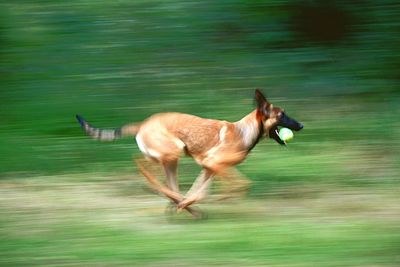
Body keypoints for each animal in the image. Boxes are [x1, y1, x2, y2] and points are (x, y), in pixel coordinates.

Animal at [76, 89, 304, 218]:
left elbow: (199, 191)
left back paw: (178, 203)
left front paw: (188, 203)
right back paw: (170, 197)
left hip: (171, 160)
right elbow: (239, 185)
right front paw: (220, 198)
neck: (245, 131)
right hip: (173, 151)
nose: (301, 125)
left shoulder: (208, 168)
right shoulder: (215, 165)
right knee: (143, 166)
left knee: (166, 182)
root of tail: (143, 123)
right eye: (282, 115)